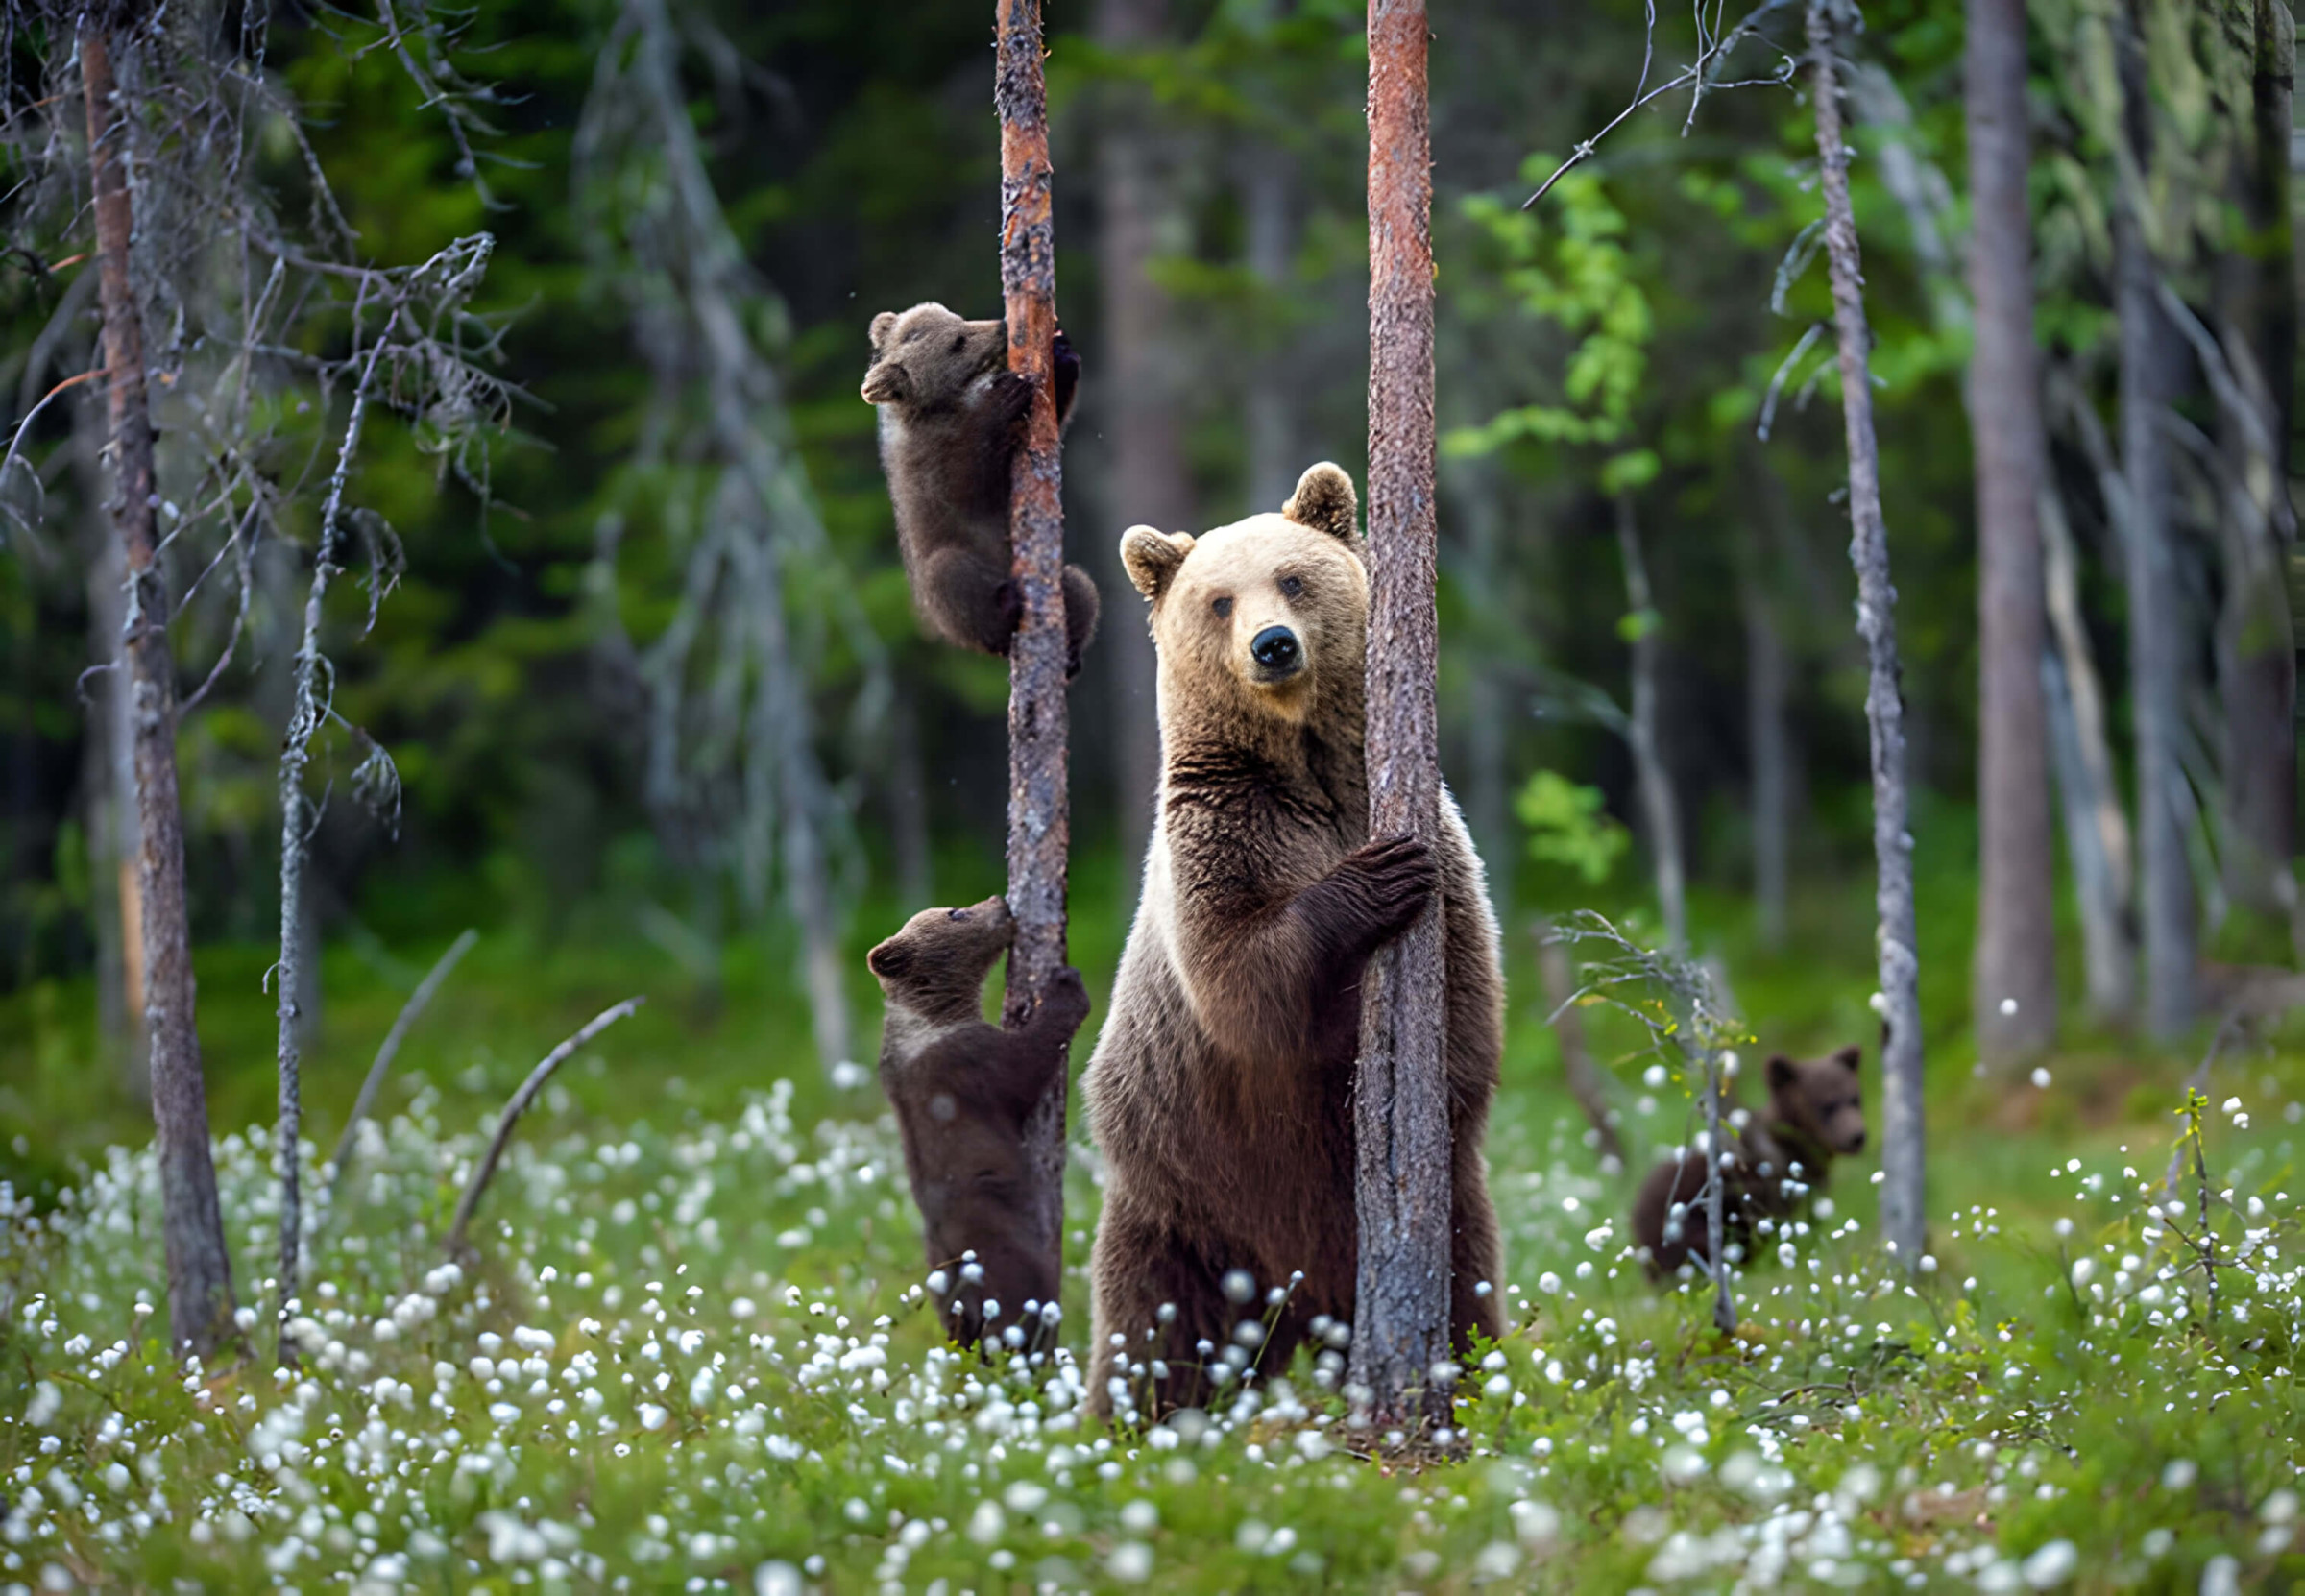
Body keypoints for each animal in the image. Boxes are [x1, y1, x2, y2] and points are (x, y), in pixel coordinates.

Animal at [860, 303, 1100, 677]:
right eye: (957, 342)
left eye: (958, 319)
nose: (1002, 326)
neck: (947, 405)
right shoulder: (931, 467)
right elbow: (969, 481)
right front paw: (1004, 396)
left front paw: (1062, 353)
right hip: (944, 586)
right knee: (952, 579)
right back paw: (1005, 607)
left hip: (1062, 581)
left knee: (1079, 585)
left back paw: (1072, 653)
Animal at [867, 895, 1092, 1350]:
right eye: (954, 912)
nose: (1001, 901)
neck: (933, 1016)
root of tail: (962, 1285)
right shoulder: (969, 1063)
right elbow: (1028, 1063)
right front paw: (1066, 985)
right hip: (1001, 1251)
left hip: (939, 1283)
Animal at [1079, 461, 1506, 1420]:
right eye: (1218, 600)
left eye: (1295, 578)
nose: (1272, 645)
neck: (1307, 766)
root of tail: (1301, 1306)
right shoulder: (1224, 834)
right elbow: (1244, 981)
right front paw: (1375, 879)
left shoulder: (1437, 838)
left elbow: (1465, 990)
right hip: (1183, 1200)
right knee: (1152, 1330)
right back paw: (1126, 1423)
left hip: (1448, 1208)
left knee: (1468, 1285)